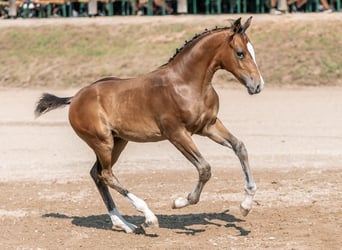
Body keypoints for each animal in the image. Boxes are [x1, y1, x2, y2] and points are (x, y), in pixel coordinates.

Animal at [34, 16, 264, 233]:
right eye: (240, 53)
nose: (258, 85)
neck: (187, 84)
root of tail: (75, 98)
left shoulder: (208, 126)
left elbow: (240, 147)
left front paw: (245, 205)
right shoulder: (176, 133)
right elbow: (204, 168)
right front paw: (180, 201)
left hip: (118, 141)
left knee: (97, 174)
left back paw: (124, 224)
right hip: (102, 142)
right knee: (106, 174)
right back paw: (148, 217)